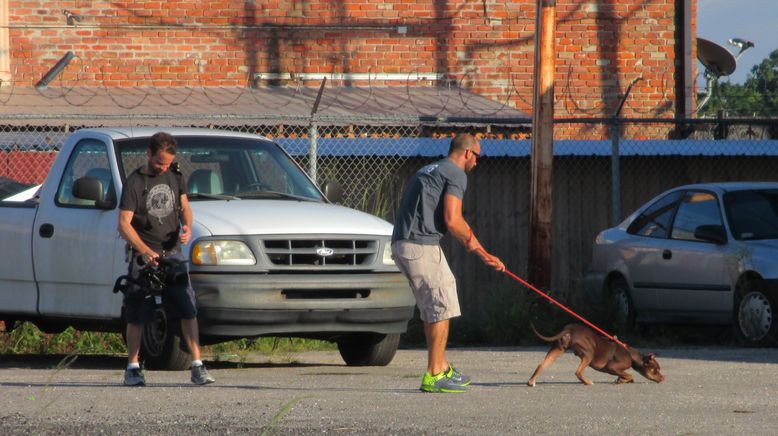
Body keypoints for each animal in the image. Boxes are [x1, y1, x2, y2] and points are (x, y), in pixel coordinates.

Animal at [528, 322, 660, 386]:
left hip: (557, 349)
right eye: (656, 369)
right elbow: (629, 375)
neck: (631, 355)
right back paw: (587, 382)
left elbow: (625, 375)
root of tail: (569, 329)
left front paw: (622, 379)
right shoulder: (611, 367)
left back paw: (531, 382)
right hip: (588, 354)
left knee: (541, 365)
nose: (663, 378)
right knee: (578, 372)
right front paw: (622, 380)